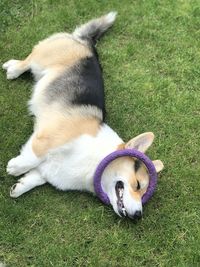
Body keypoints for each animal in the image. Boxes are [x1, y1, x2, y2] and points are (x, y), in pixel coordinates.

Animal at [2, 12, 163, 220]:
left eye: (143, 193)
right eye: (137, 185)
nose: (138, 216)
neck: (95, 162)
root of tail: (86, 43)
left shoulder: (48, 170)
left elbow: (36, 177)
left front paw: (19, 187)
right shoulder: (48, 137)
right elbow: (32, 156)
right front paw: (15, 167)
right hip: (44, 58)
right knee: (29, 59)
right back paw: (13, 68)